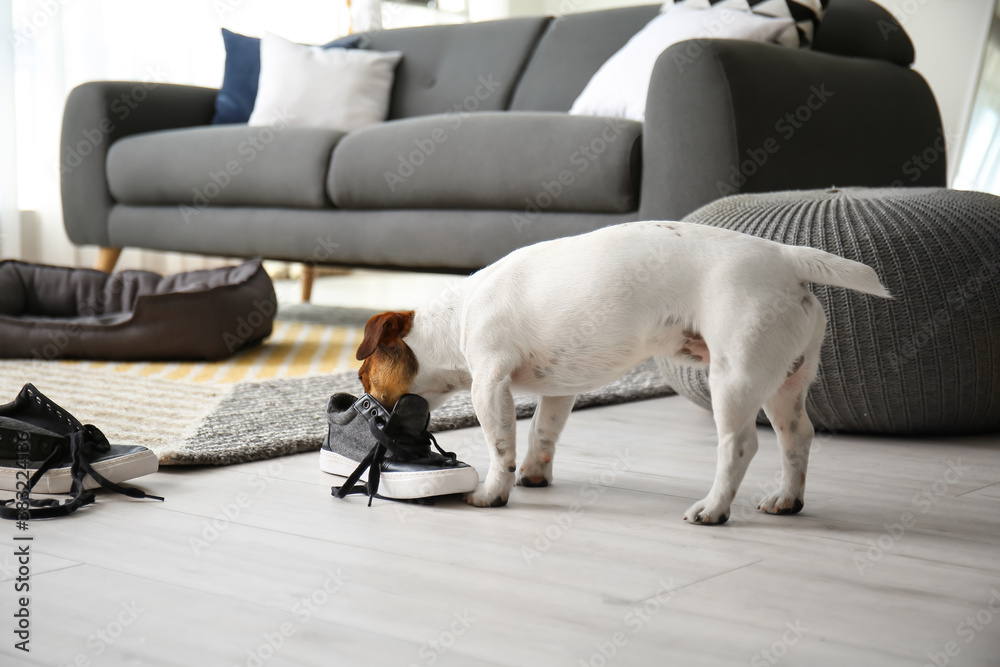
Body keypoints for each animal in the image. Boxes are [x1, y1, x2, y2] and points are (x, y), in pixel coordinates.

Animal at [356, 222, 888, 524]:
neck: (456, 317)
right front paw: (533, 475)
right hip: (784, 383)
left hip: (734, 378)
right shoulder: (561, 389)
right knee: (797, 439)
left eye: (363, 380)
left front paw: (493, 492)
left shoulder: (490, 384)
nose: (360, 405)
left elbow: (500, 445)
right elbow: (543, 433)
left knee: (739, 446)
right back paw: (787, 500)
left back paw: (713, 509)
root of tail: (785, 256)